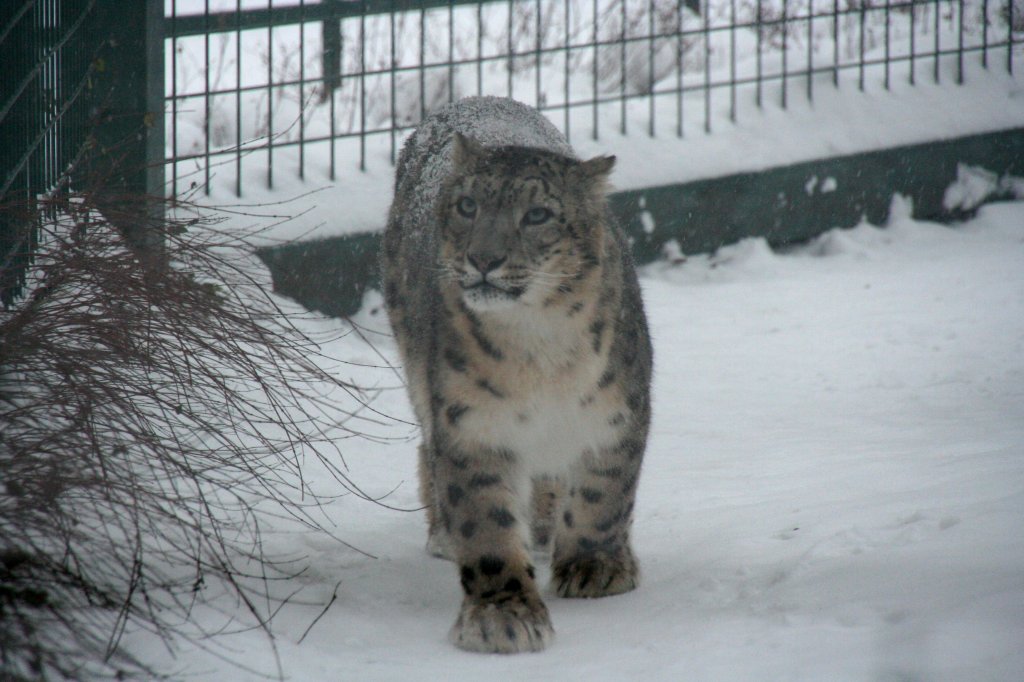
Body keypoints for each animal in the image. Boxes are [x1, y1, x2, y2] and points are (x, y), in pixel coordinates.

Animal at [380, 96, 651, 655]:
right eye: (467, 206)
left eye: (538, 214)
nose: (483, 258)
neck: (539, 347)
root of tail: (475, 99)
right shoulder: (471, 425)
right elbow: (487, 525)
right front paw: (502, 616)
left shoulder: (618, 414)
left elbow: (604, 495)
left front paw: (594, 567)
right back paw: (446, 533)